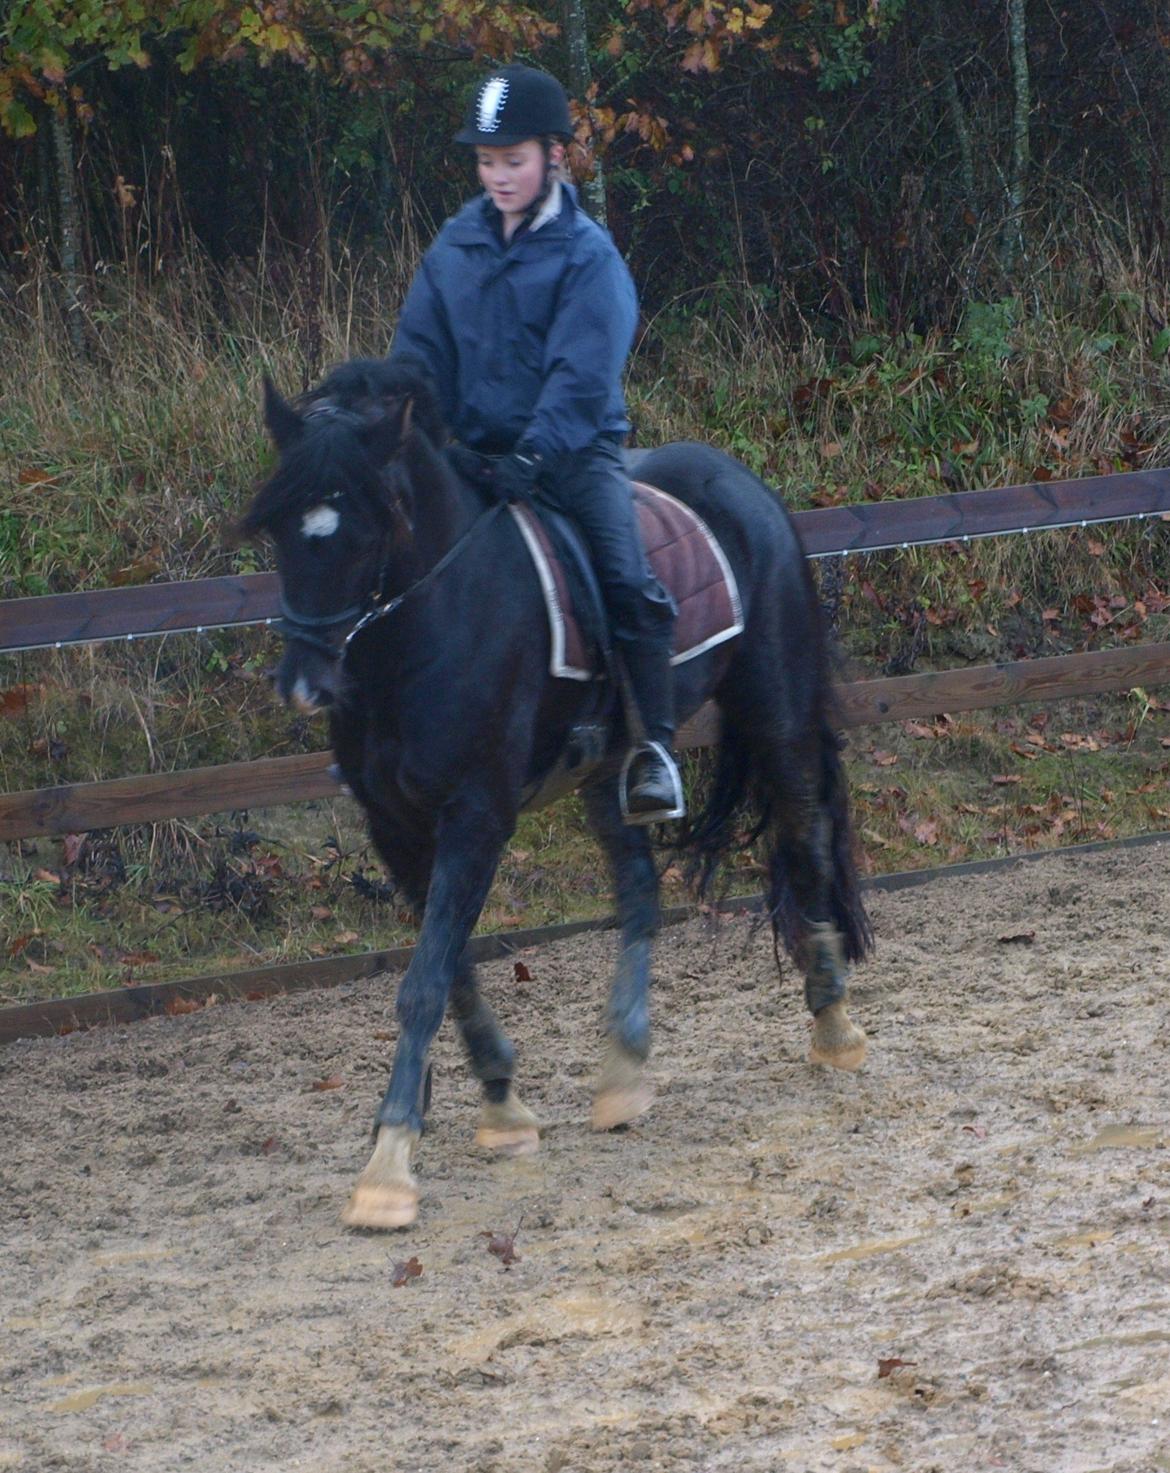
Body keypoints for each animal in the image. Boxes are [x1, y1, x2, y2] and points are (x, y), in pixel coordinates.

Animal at [234, 359, 866, 1231]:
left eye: (364, 530)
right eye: (280, 531)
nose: (304, 684)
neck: (430, 623)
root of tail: (742, 482)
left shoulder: (476, 812)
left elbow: (423, 982)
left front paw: (389, 1164)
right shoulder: (394, 824)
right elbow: (450, 967)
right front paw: (502, 1104)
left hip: (773, 705)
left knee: (804, 832)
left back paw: (834, 1022)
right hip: (610, 771)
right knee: (640, 893)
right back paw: (625, 1070)